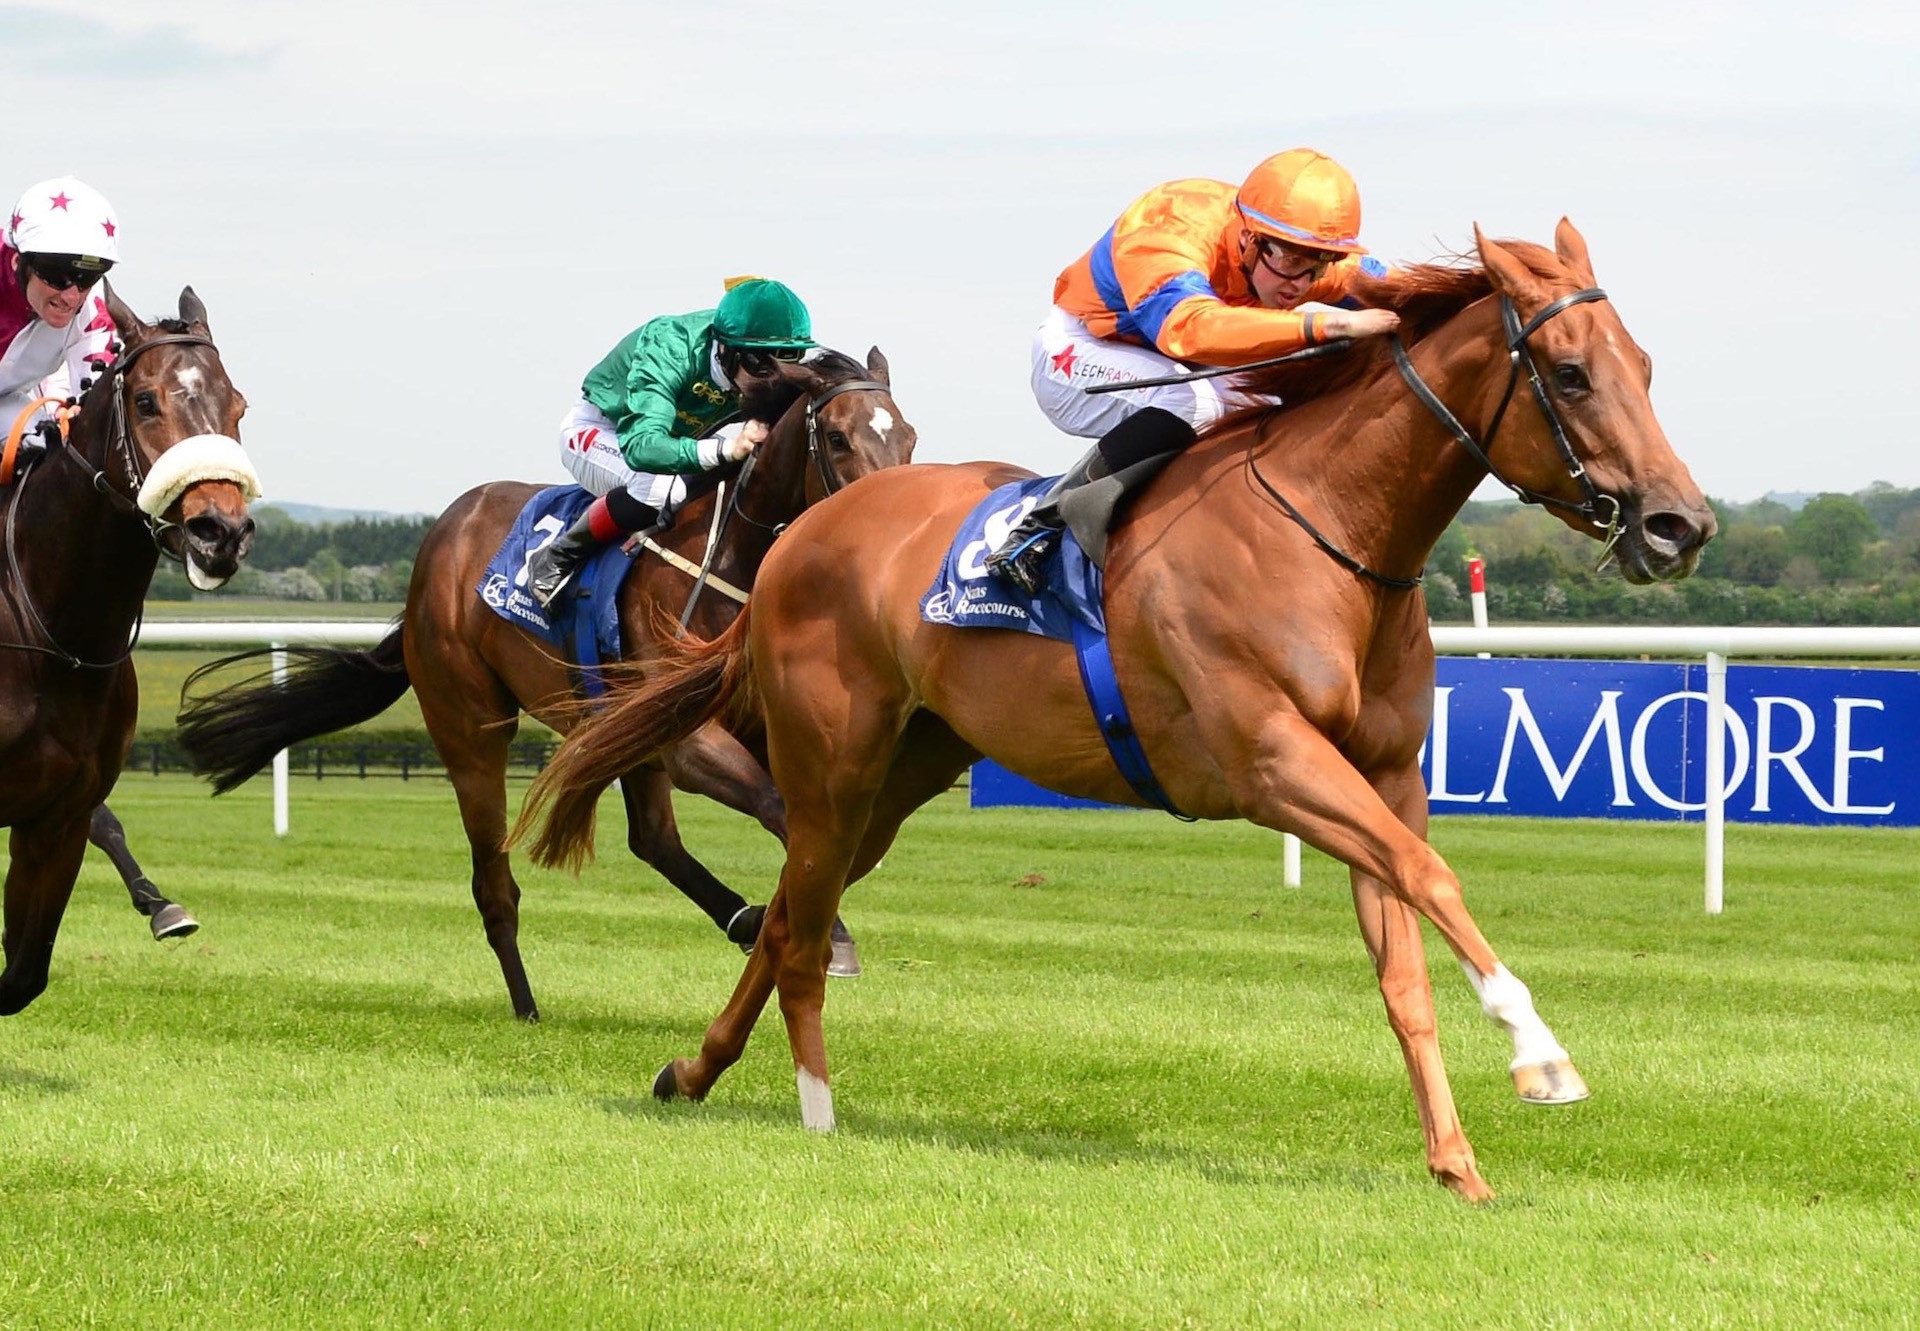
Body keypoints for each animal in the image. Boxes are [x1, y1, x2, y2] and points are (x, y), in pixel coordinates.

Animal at [178, 345, 913, 1014]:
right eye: (839, 437)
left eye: (907, 437)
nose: (888, 529)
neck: (727, 561)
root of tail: (438, 543)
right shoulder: (688, 739)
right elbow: (776, 804)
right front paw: (835, 937)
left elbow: (799, 812)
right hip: (471, 726)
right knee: (494, 881)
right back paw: (526, 1003)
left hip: (621, 730)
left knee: (654, 840)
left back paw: (744, 920)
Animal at [518, 222, 1720, 1198]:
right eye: (1571, 373)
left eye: (1647, 368)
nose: (1681, 523)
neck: (1330, 530)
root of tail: (798, 539)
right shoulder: (1272, 764)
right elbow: (1434, 880)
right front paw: (1540, 1053)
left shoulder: (1382, 777)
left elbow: (1403, 966)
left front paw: (1455, 1159)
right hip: (834, 758)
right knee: (801, 925)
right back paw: (814, 1106)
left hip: (902, 772)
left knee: (784, 916)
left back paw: (694, 1069)